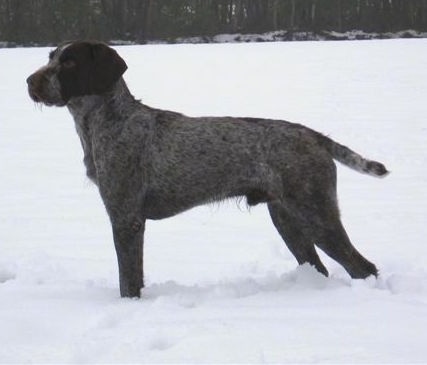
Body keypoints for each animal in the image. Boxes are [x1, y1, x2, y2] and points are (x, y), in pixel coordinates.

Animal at [25, 40, 388, 296]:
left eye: (70, 62)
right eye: (51, 57)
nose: (29, 81)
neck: (107, 121)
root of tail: (312, 135)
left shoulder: (127, 218)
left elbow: (129, 281)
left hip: (315, 214)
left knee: (363, 266)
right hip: (287, 218)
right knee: (319, 267)